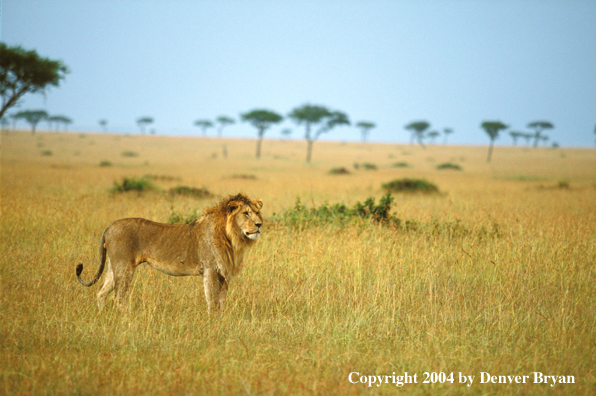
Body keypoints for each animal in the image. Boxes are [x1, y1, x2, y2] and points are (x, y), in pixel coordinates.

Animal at [76, 193, 264, 312]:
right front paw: (212, 321)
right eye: (246, 213)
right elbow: (211, 300)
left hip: (113, 265)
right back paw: (129, 317)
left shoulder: (223, 273)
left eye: (257, 213)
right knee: (118, 297)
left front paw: (221, 319)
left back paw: (102, 315)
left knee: (101, 293)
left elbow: (221, 300)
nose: (259, 224)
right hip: (124, 267)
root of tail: (109, 227)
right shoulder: (210, 269)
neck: (231, 237)